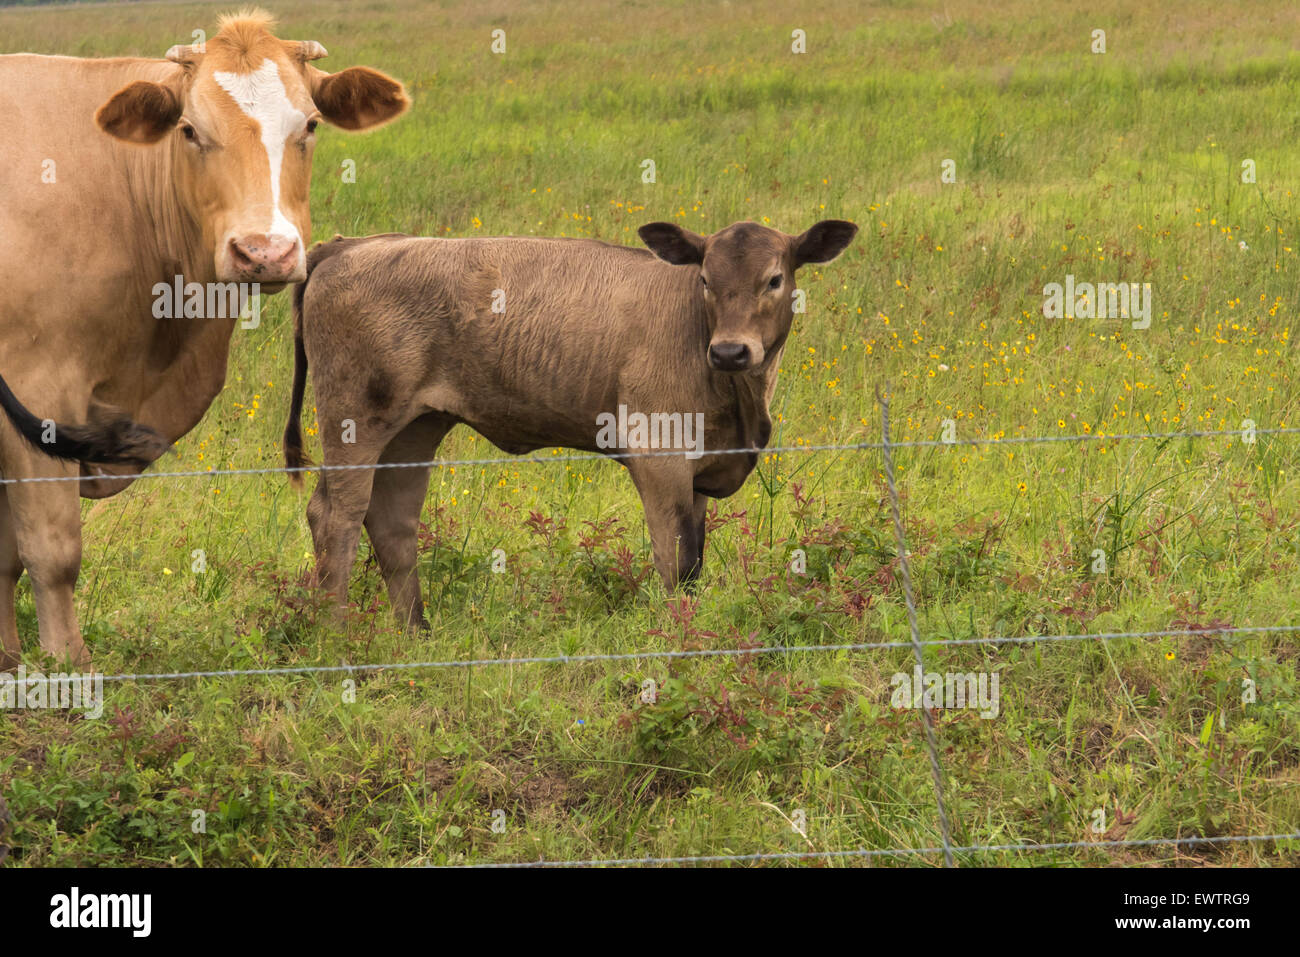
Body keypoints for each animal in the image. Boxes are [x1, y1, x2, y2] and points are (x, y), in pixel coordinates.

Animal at [0, 10, 409, 668]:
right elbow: (49, 549)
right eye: (190, 131)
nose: (264, 252)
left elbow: (5, 553)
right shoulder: (38, 387)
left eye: (311, 125)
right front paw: (66, 665)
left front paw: (9, 660)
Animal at [282, 219, 858, 630]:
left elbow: (694, 562)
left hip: (415, 429)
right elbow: (673, 560)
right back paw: (336, 635)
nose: (731, 350)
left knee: (393, 520)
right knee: (336, 515)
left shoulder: (698, 471)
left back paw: (415, 633)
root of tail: (348, 246)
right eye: (705, 281)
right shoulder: (659, 457)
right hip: (355, 422)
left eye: (775, 279)